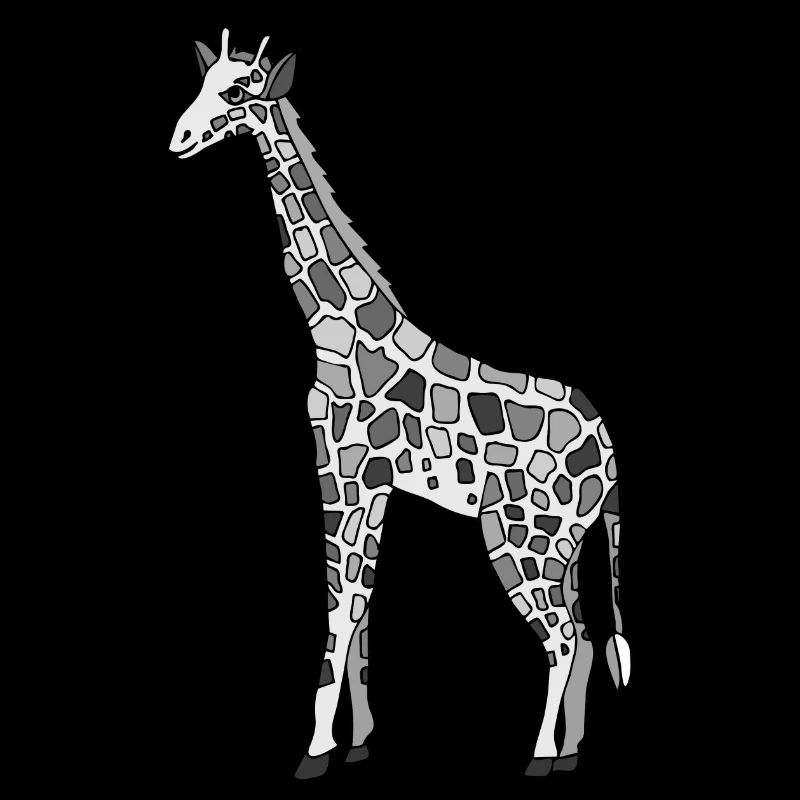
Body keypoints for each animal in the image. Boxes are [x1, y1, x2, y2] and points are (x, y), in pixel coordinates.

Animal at [170, 30, 631, 779]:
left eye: (237, 92)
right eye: (203, 81)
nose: (179, 137)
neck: (333, 331)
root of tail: (611, 445)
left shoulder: (345, 474)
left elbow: (341, 606)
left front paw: (313, 750)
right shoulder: (374, 485)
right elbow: (360, 610)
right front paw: (356, 743)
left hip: (518, 533)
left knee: (562, 639)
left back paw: (538, 757)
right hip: (564, 538)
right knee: (587, 638)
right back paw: (570, 754)